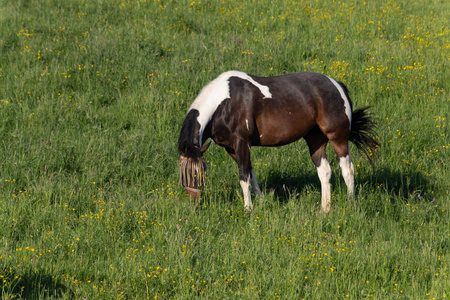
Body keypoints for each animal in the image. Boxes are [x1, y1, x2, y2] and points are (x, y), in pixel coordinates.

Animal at [178, 70, 378, 212]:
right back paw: (324, 210)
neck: (224, 103)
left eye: (201, 171)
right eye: (182, 172)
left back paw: (350, 204)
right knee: (325, 172)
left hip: (338, 137)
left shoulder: (242, 142)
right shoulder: (232, 149)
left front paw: (248, 209)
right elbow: (250, 173)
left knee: (347, 169)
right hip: (315, 139)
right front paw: (260, 202)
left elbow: (244, 176)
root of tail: (337, 85)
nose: (195, 201)